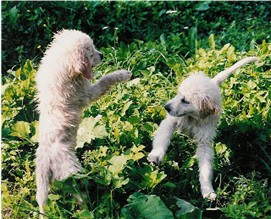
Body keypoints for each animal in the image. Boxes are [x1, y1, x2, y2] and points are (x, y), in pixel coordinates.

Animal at [35, 28, 133, 216]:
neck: (63, 67)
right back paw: (89, 208)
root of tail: (46, 164)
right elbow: (104, 80)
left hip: (43, 185)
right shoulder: (87, 94)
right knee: (80, 196)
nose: (102, 55)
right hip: (73, 176)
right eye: (90, 53)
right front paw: (122, 74)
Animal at [149, 56, 260, 200]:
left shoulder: (205, 141)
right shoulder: (170, 122)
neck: (193, 117)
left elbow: (205, 168)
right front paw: (155, 155)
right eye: (178, 94)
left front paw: (207, 190)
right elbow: (163, 138)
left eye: (185, 100)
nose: (166, 107)